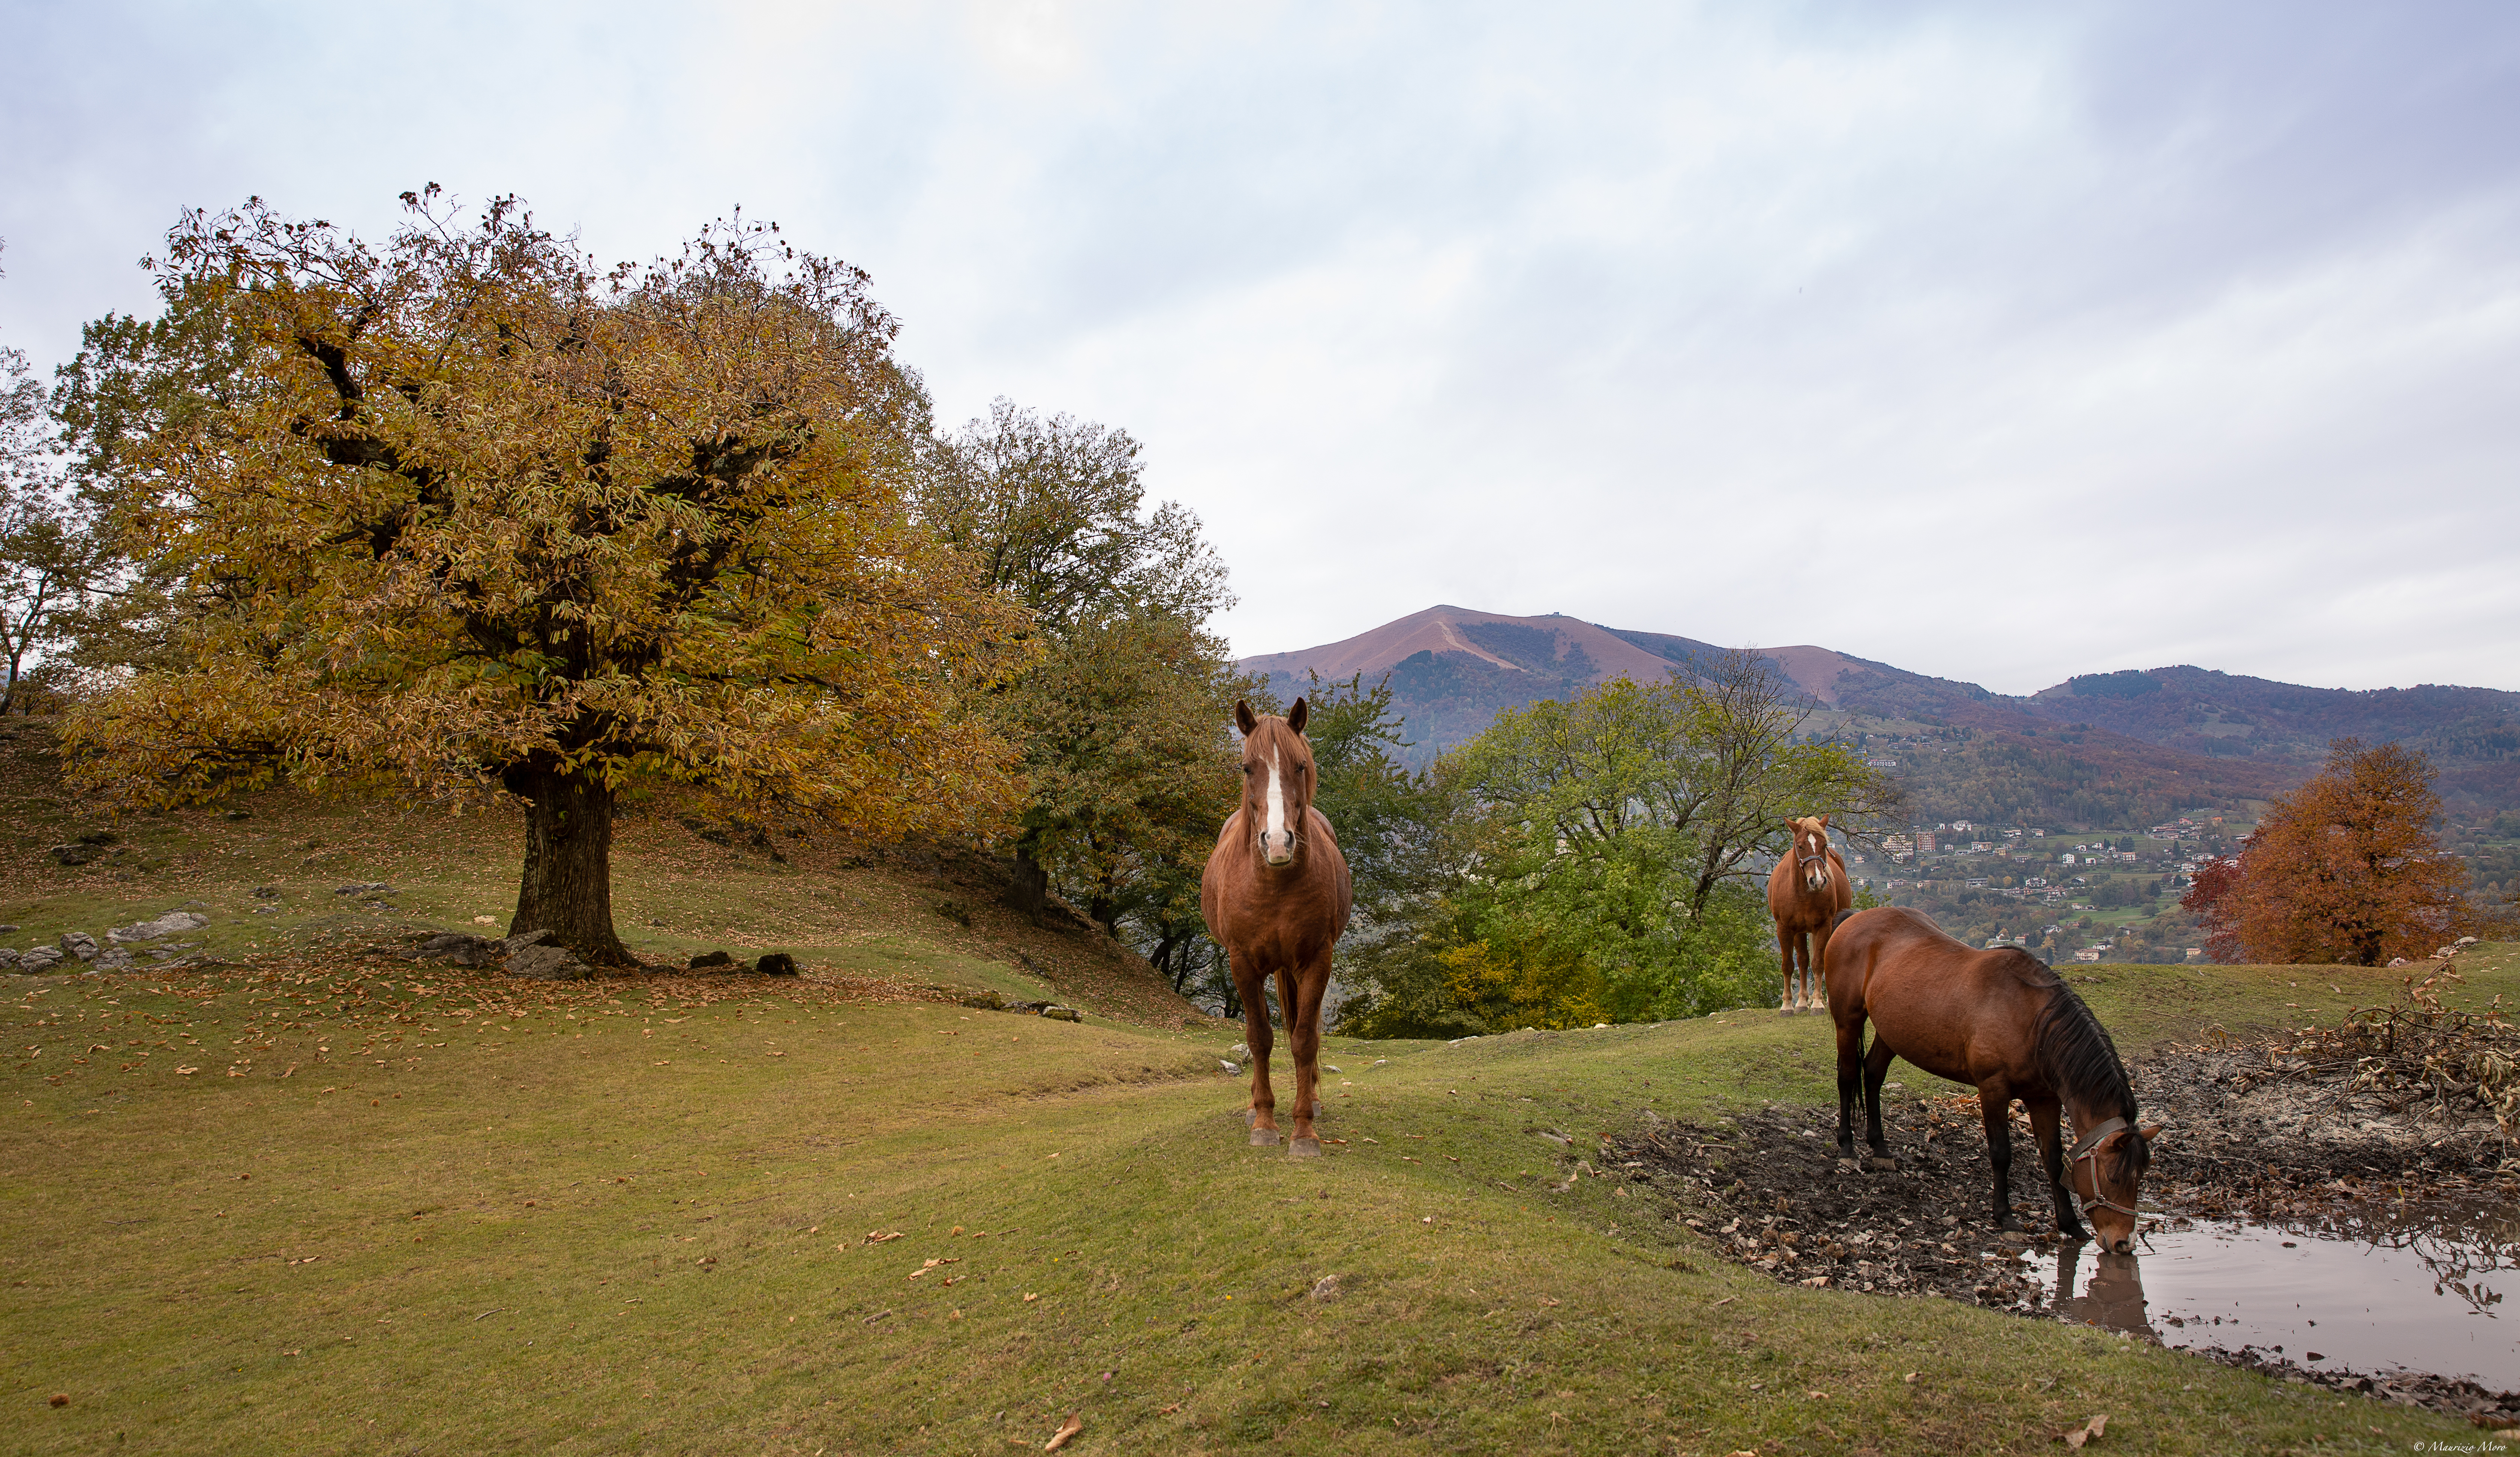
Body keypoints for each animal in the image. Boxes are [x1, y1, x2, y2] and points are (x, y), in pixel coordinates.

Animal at [1200, 697, 1354, 1157]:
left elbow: (1304, 1039)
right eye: (1247, 767)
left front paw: (1304, 1131)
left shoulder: (1318, 960)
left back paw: (1314, 1102)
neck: (1274, 884)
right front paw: (1265, 1122)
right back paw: (1255, 1105)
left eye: (1300, 765)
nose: (1278, 842)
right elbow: (1259, 1038)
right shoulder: (1242, 964)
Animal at [1766, 814, 1850, 1013]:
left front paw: (1818, 1003)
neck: (1803, 894)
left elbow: (1819, 963)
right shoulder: (1785, 929)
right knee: (1803, 960)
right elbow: (1789, 965)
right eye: (1800, 846)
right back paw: (1802, 1002)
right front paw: (1787, 1005)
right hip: (1800, 931)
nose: (1818, 881)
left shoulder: (1824, 926)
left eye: (1824, 845)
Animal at [1823, 906, 2160, 1251]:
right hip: (1848, 1020)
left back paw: (1879, 1147)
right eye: (2114, 1177)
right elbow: (2001, 1154)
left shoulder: (2044, 1098)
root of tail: (1854, 917)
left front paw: (2070, 1223)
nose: (2124, 1242)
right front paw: (2006, 1217)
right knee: (1848, 1076)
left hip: (1893, 1031)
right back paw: (1847, 1146)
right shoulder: (1993, 1089)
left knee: (1873, 1074)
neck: (2031, 1021)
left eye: (2139, 1178)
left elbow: (2053, 1158)